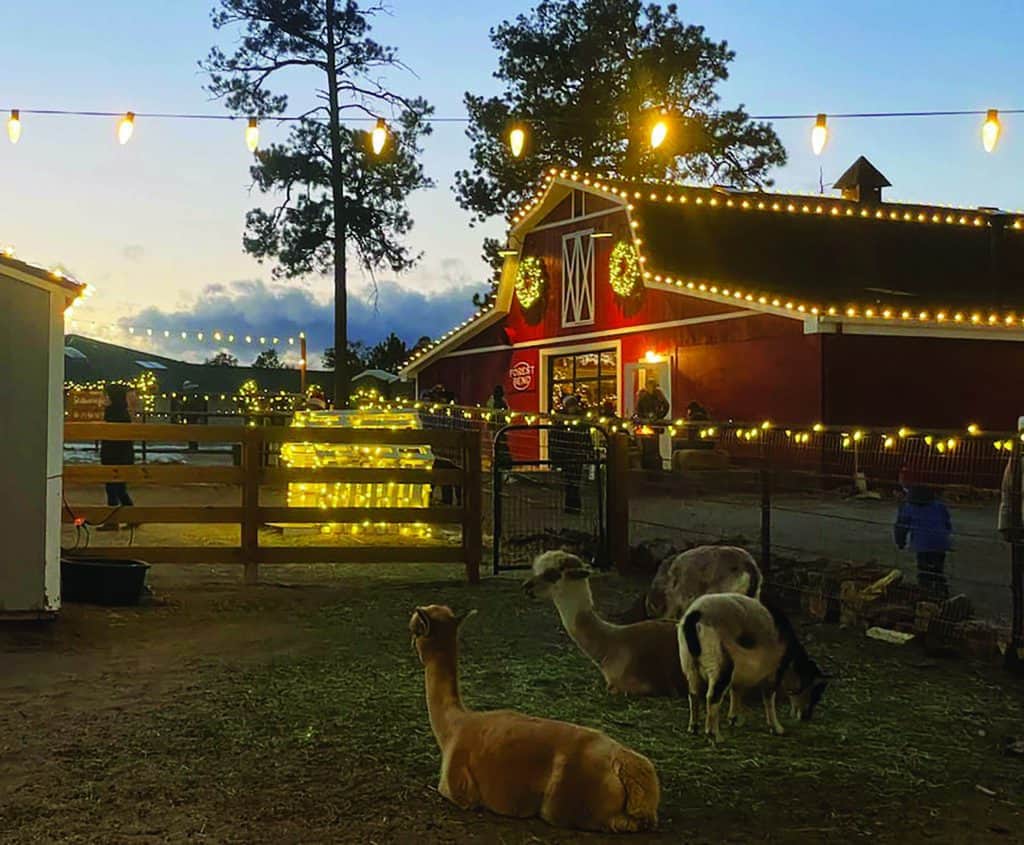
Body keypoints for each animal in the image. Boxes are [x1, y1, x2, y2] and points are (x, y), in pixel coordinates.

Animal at [409, 602, 659, 835]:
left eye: (416, 630)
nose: (412, 643)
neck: (453, 726)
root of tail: (624, 761)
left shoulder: (456, 790)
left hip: (569, 803)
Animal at [675, 594, 827, 737]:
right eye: (815, 692)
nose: (807, 717)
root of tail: (696, 615)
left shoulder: (739, 672)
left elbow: (736, 691)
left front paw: (734, 718)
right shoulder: (774, 672)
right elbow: (769, 699)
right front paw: (776, 728)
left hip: (689, 663)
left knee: (693, 694)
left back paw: (693, 727)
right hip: (719, 664)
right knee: (712, 697)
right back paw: (714, 734)